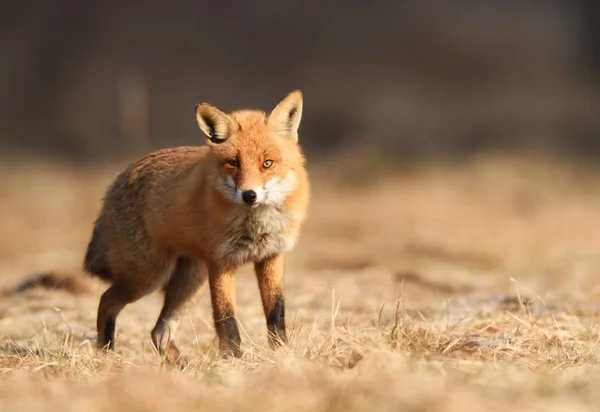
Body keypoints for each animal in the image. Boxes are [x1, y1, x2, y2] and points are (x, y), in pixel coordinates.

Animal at [83, 90, 310, 360]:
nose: (249, 195)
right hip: (148, 276)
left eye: (267, 163)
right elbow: (226, 318)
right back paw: (106, 353)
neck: (255, 227)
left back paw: (182, 364)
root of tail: (117, 179)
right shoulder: (220, 261)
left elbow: (276, 312)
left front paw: (282, 355)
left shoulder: (272, 256)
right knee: (106, 301)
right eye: (233, 163)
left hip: (189, 282)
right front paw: (233, 360)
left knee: (159, 331)